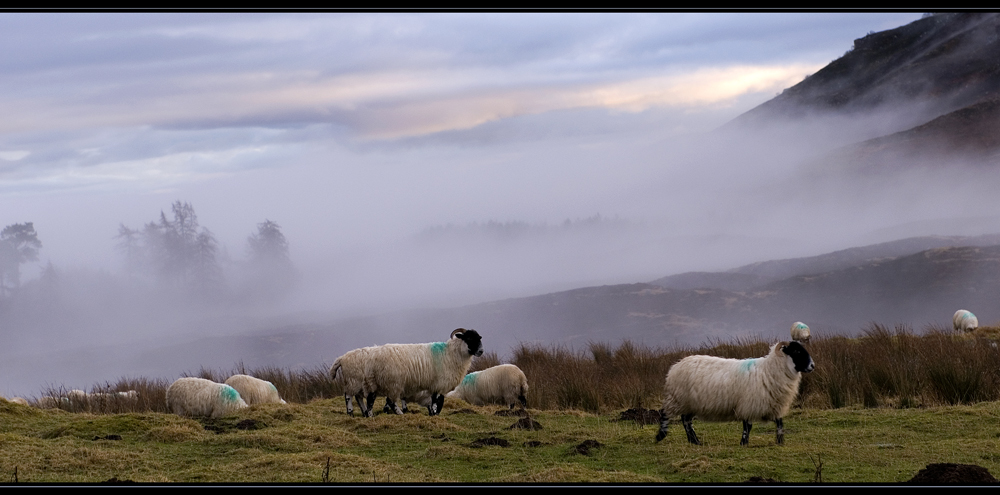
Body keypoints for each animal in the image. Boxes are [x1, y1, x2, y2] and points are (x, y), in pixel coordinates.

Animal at [656, 342, 812, 448]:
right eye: (796, 351)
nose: (812, 366)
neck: (769, 370)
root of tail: (675, 367)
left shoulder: (771, 404)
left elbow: (780, 422)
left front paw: (780, 441)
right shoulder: (749, 404)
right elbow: (747, 426)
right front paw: (743, 442)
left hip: (690, 403)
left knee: (686, 420)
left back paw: (694, 441)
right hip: (678, 399)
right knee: (666, 414)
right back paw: (661, 436)